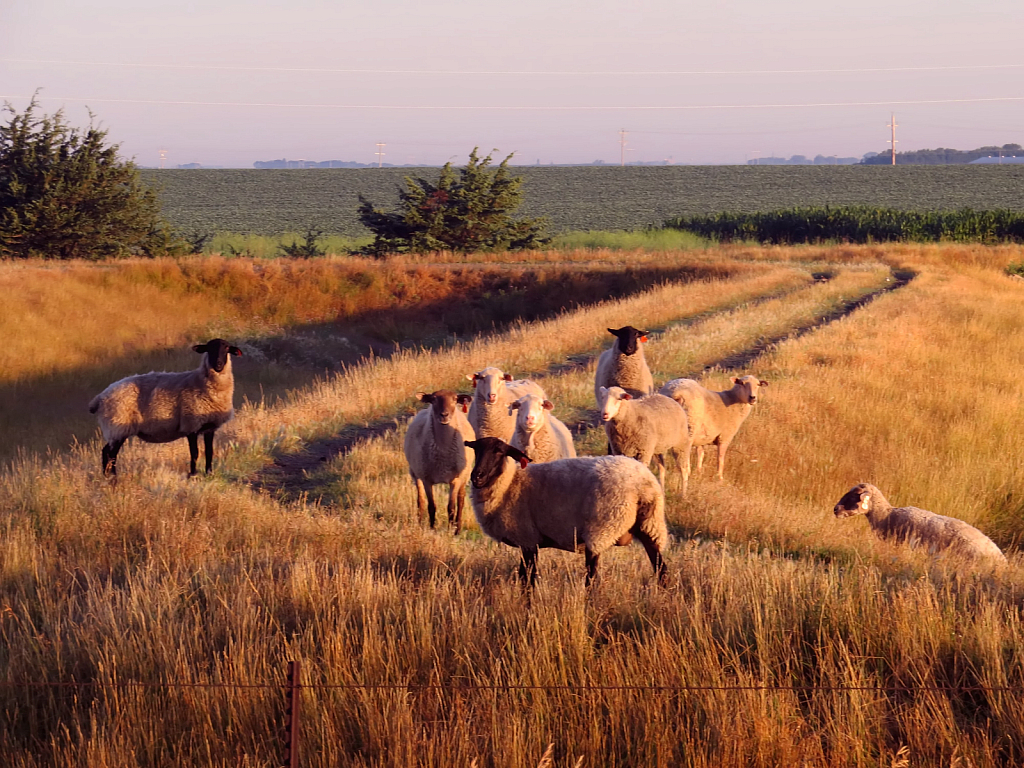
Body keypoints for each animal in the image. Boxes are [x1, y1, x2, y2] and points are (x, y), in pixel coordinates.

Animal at [86, 337, 241, 481]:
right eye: (209, 348)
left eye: (227, 348)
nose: (218, 364)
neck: (200, 382)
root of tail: (100, 397)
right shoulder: (190, 424)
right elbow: (195, 452)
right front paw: (193, 474)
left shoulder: (210, 426)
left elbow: (209, 451)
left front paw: (209, 473)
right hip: (117, 426)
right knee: (109, 453)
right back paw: (112, 478)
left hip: (116, 428)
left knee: (108, 452)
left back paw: (108, 477)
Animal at [401, 391, 477, 536]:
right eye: (434, 399)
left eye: (454, 399)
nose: (444, 415)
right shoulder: (426, 479)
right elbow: (431, 506)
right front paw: (432, 529)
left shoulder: (455, 479)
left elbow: (451, 507)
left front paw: (450, 531)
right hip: (415, 473)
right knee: (420, 500)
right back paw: (419, 523)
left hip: (465, 475)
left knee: (461, 500)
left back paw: (458, 529)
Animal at [464, 438, 671, 589]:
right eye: (476, 449)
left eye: (499, 451)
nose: (477, 476)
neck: (510, 484)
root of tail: (643, 485)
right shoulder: (528, 543)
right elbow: (524, 577)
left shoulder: (527, 539)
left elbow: (528, 580)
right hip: (651, 526)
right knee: (661, 570)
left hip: (601, 530)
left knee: (591, 579)